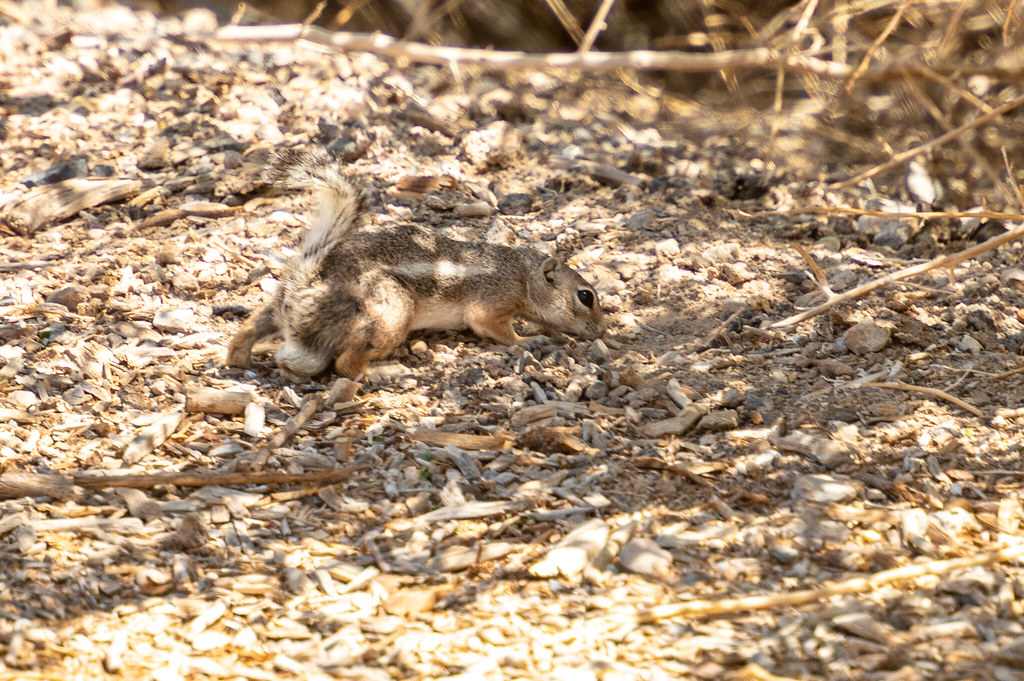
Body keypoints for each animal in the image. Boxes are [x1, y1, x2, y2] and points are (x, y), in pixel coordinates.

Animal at [225, 148, 605, 379]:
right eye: (586, 296)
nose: (601, 330)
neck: (522, 275)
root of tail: (306, 289)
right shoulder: (493, 303)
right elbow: (495, 329)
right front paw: (526, 340)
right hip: (394, 312)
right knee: (346, 365)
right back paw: (382, 372)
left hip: (277, 306)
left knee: (250, 328)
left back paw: (238, 356)